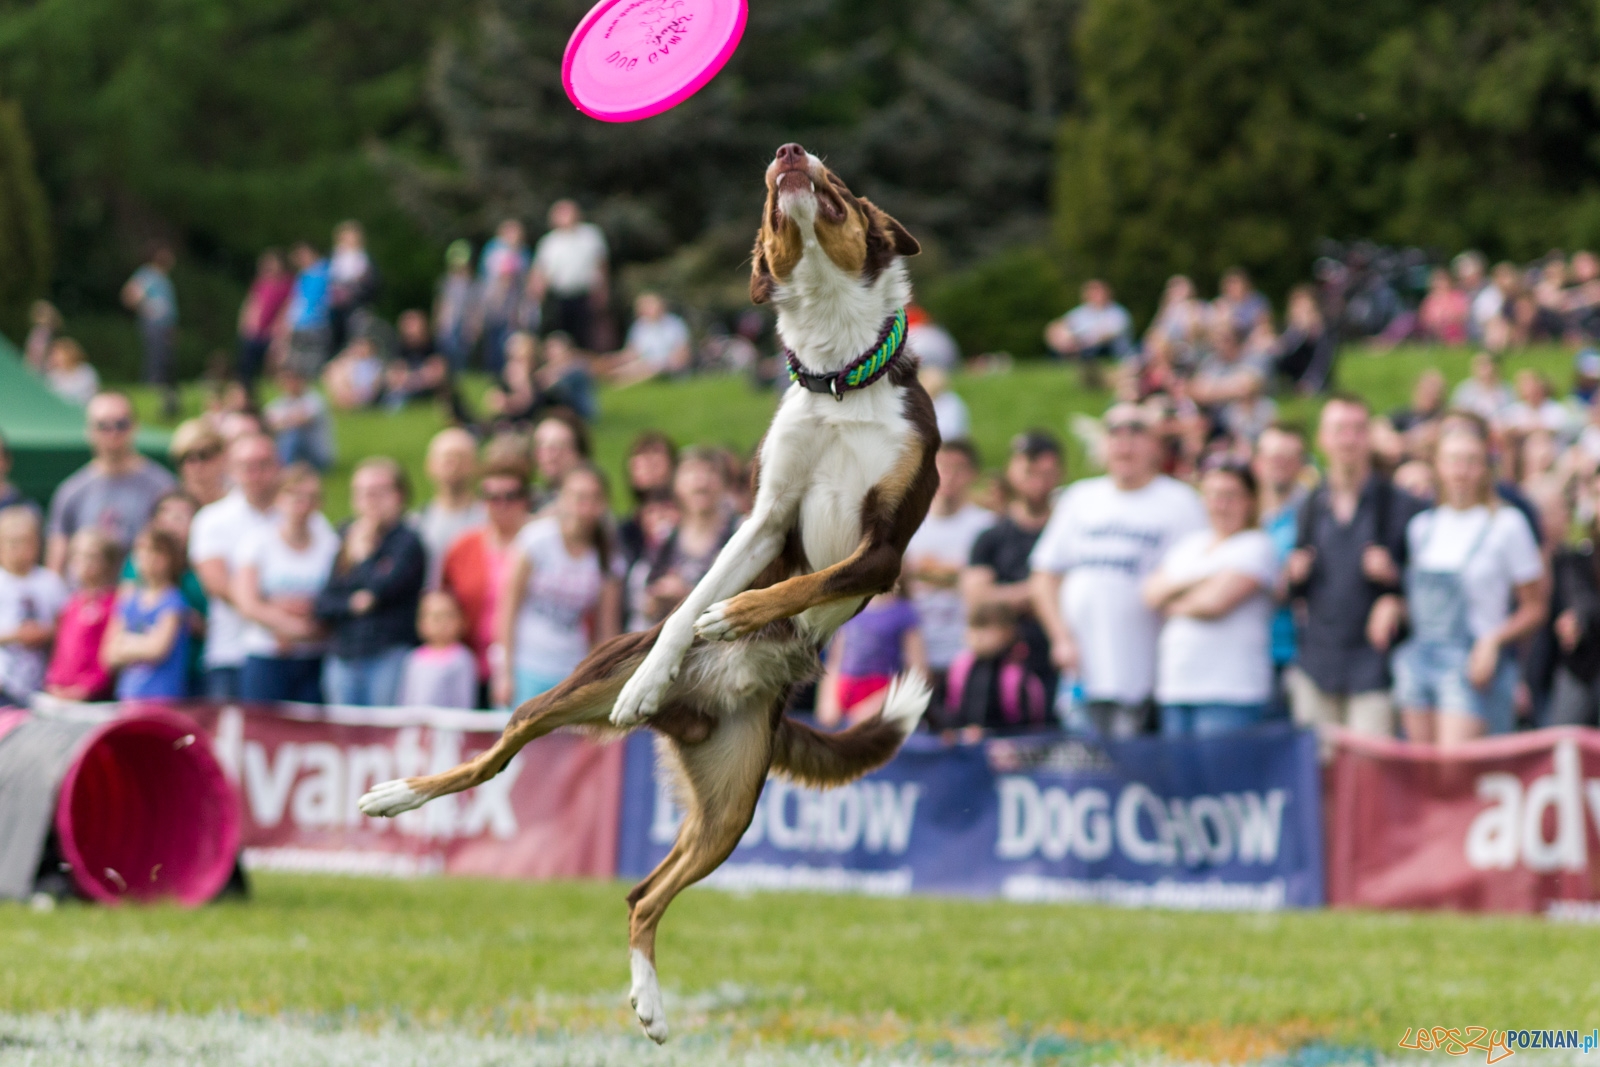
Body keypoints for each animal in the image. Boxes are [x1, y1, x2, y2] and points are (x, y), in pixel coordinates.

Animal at [360, 141, 934, 1043]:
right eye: (772, 203)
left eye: (837, 184)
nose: (787, 151)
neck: (843, 375)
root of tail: (703, 709)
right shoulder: (765, 519)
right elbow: (702, 598)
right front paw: (689, 638)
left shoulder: (883, 554)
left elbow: (807, 581)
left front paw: (737, 615)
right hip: (582, 689)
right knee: (500, 753)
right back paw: (398, 792)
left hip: (729, 806)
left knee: (641, 894)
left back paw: (651, 1002)